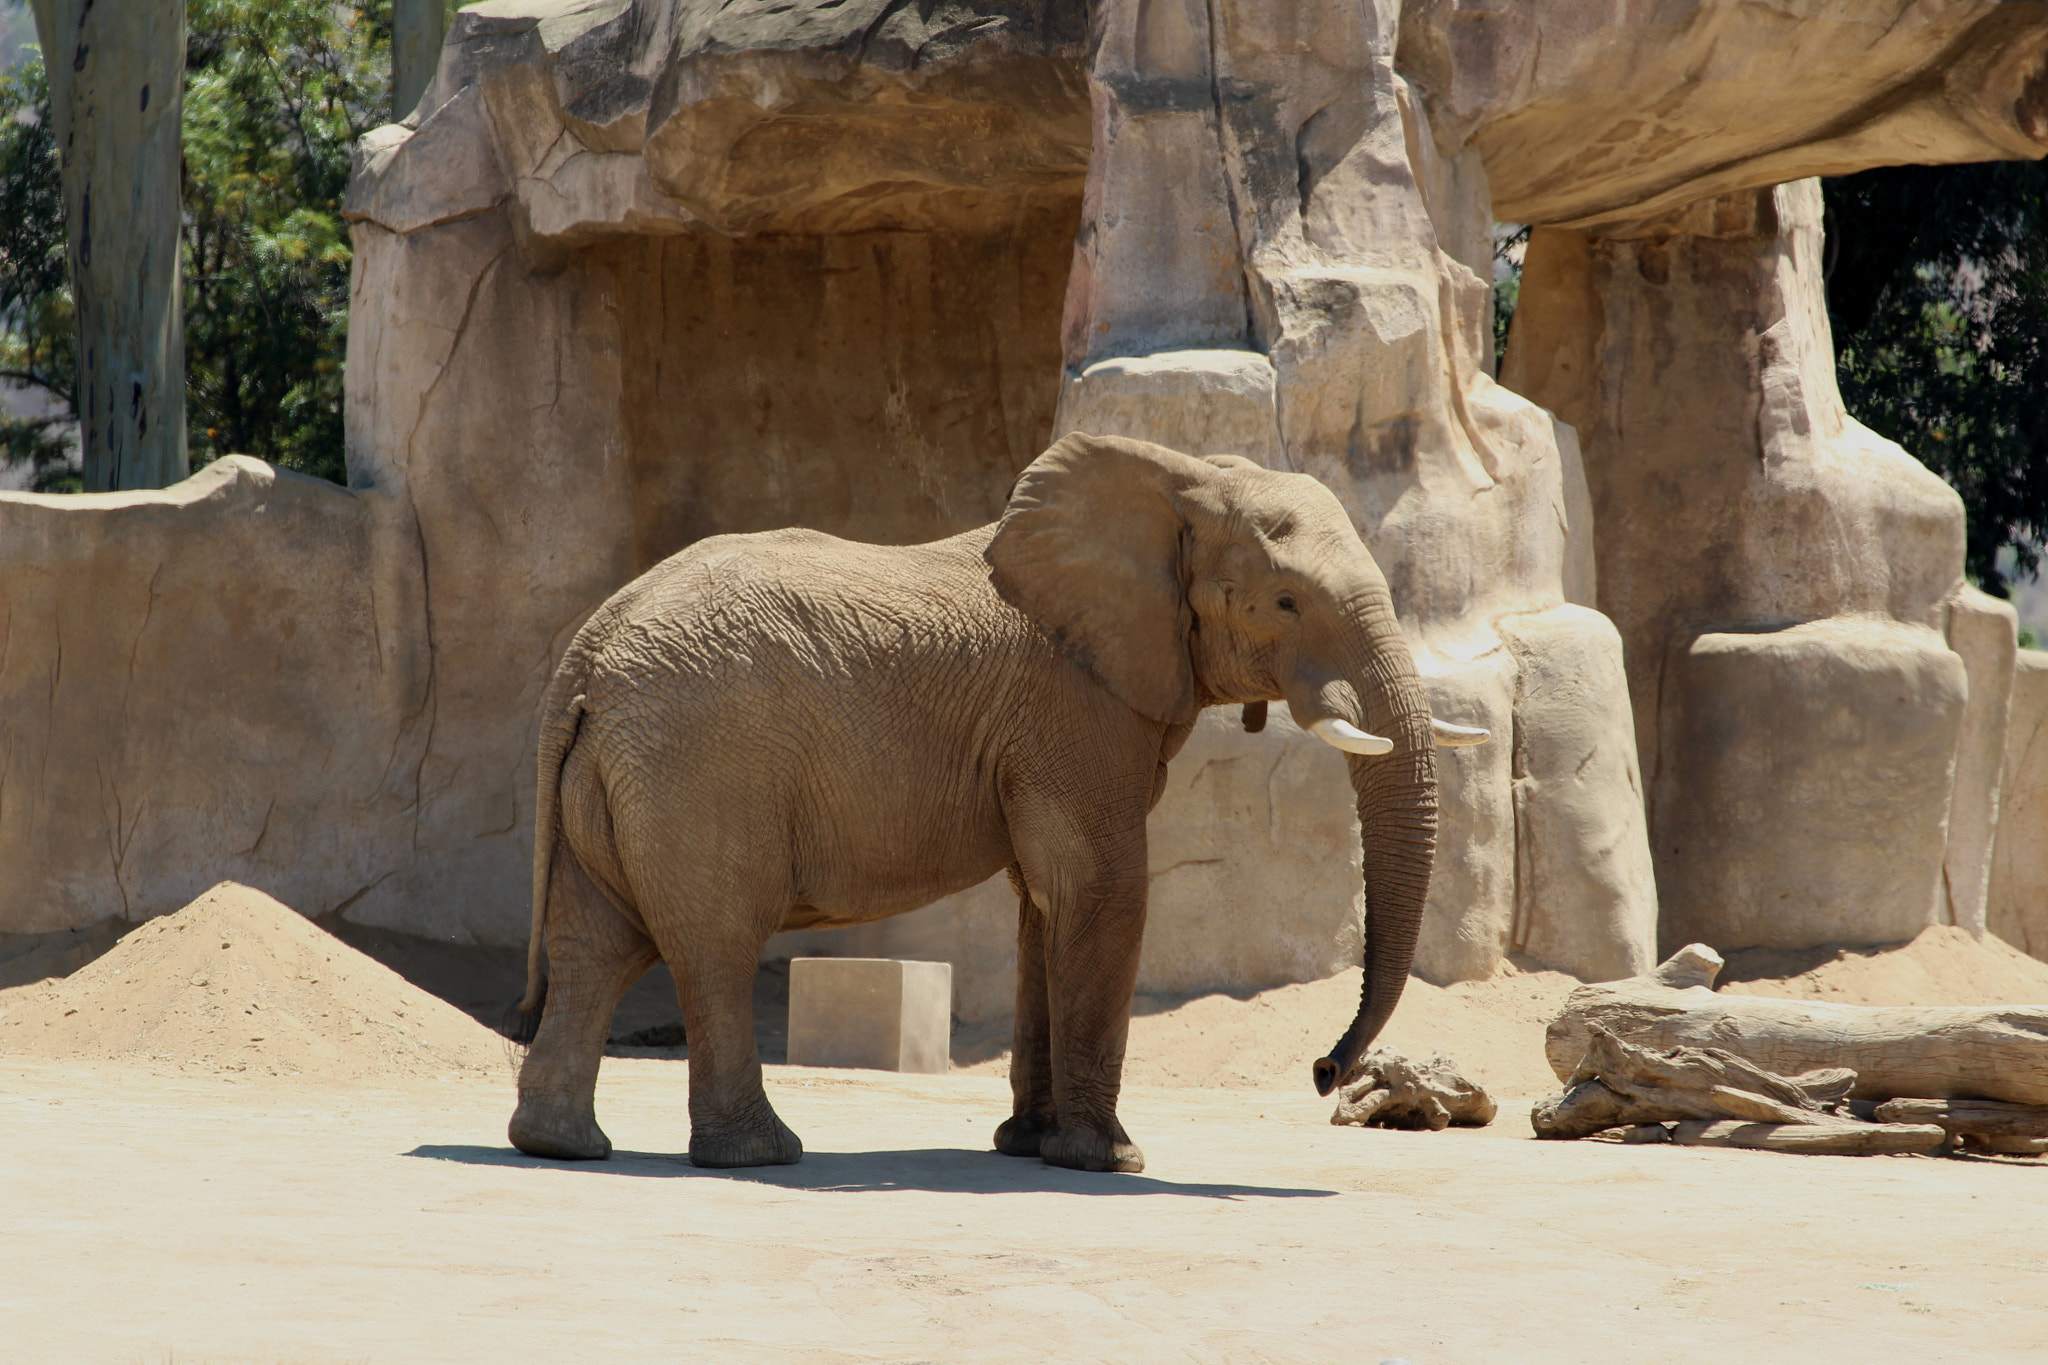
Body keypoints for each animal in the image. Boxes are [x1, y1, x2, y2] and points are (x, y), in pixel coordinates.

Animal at [504, 432, 1487, 1173]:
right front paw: (1107, 1161)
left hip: (626, 767)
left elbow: (1043, 905)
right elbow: (1103, 890)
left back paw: (560, 1146)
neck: (1180, 479)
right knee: (713, 942)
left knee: (594, 943)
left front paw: (1027, 1144)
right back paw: (762, 1154)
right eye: (1285, 601)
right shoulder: (1076, 704)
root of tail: (585, 655)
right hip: (700, 765)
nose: (1325, 1069)